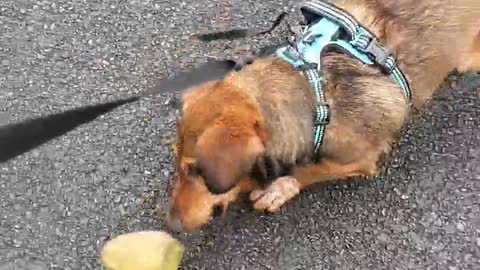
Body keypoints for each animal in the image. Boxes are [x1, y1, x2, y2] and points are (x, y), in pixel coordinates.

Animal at [165, 0, 480, 232]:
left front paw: (278, 187)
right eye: (177, 162)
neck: (315, 93)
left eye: (196, 170)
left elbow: (309, 170)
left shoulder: (359, 159)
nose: (171, 226)